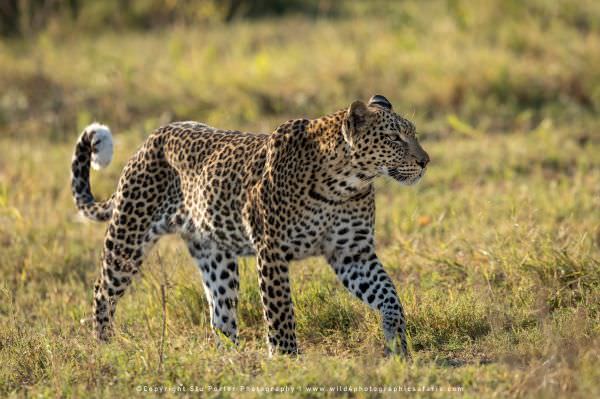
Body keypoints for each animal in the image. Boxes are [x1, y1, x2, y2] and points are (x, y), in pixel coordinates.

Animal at [70, 95, 428, 358]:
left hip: (215, 256)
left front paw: (399, 348)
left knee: (220, 312)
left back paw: (232, 359)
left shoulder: (352, 253)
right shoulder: (272, 250)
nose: (426, 161)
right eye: (394, 138)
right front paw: (286, 360)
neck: (345, 184)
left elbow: (389, 297)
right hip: (129, 235)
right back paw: (105, 347)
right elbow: (280, 311)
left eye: (414, 133)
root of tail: (151, 138)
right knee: (102, 291)